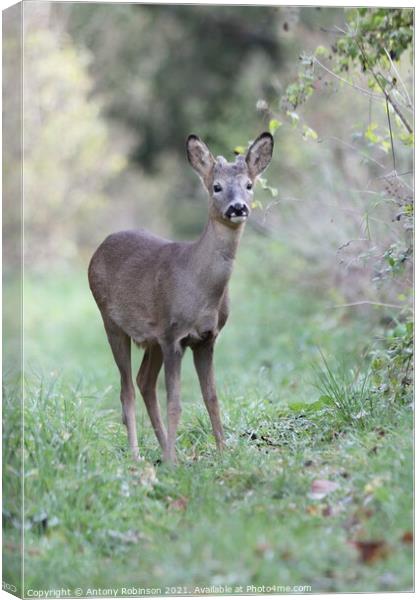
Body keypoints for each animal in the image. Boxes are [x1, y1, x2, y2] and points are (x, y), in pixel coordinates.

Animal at [87, 131, 274, 462]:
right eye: (216, 186)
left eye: (249, 185)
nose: (238, 207)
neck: (200, 288)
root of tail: (97, 250)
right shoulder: (174, 335)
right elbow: (175, 402)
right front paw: (177, 464)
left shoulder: (206, 339)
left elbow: (211, 396)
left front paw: (223, 452)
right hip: (111, 322)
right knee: (127, 388)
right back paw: (138, 456)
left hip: (152, 339)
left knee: (144, 382)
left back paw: (165, 450)